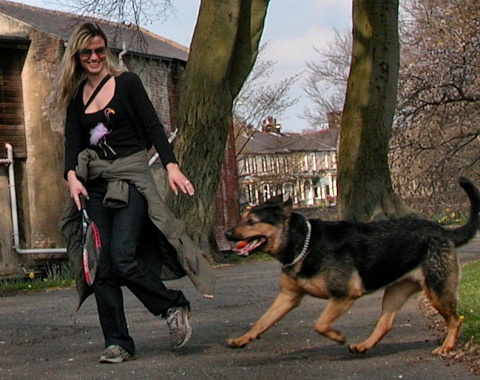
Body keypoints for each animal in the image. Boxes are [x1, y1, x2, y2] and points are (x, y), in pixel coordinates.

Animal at [224, 177, 480, 354]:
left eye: (251, 221)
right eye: (244, 218)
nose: (226, 234)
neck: (304, 243)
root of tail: (442, 230)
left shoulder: (344, 296)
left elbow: (320, 324)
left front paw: (337, 337)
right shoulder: (287, 297)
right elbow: (262, 321)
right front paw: (242, 339)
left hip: (437, 291)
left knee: (456, 320)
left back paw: (446, 347)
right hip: (395, 293)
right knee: (385, 323)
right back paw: (364, 345)